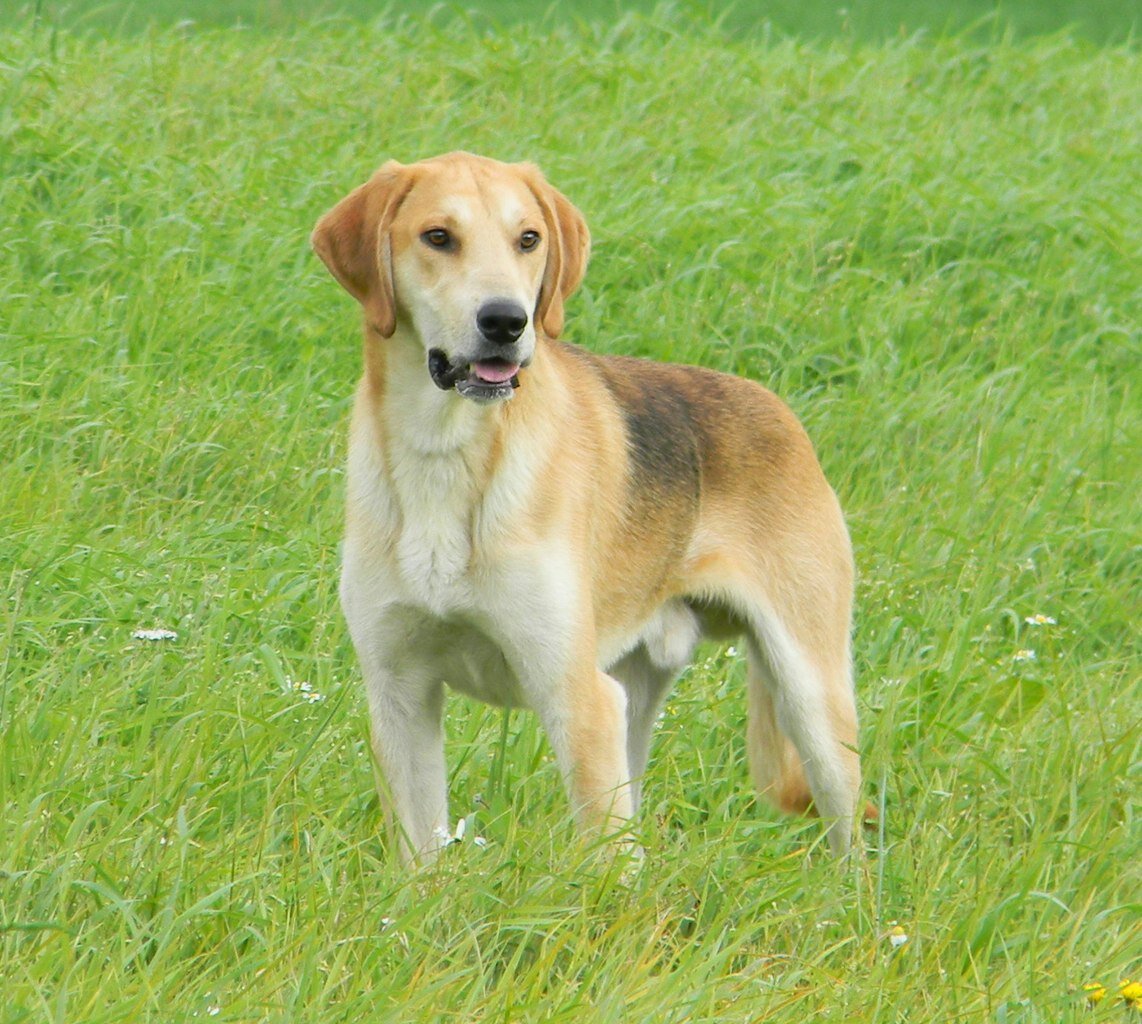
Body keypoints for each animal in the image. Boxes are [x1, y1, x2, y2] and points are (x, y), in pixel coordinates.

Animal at [312, 148, 863, 858]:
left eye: (528, 239)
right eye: (438, 237)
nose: (506, 322)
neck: (445, 455)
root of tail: (779, 411)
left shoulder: (577, 699)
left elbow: (603, 870)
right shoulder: (401, 697)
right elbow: (421, 858)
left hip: (813, 704)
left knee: (852, 836)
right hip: (635, 699)